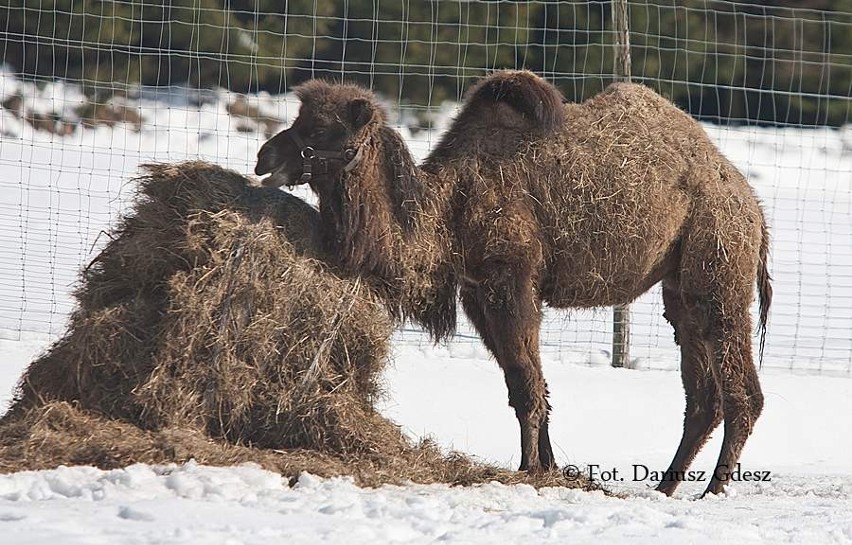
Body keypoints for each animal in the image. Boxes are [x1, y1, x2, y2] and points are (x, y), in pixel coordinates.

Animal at [253, 70, 772, 496]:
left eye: (322, 129)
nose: (263, 156)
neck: (449, 208)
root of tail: (750, 203)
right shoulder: (477, 292)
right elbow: (528, 383)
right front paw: (550, 468)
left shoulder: (511, 278)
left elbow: (525, 384)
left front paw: (527, 470)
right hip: (681, 289)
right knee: (702, 396)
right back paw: (666, 487)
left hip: (720, 266)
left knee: (742, 390)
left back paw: (713, 490)